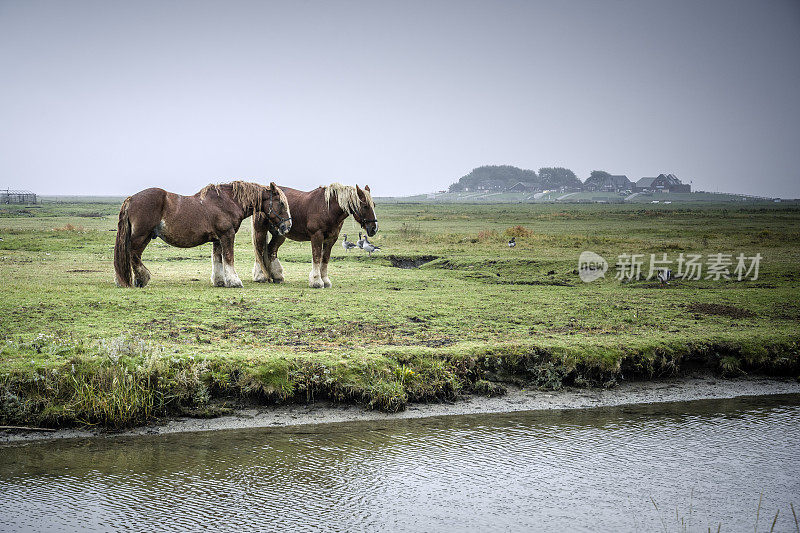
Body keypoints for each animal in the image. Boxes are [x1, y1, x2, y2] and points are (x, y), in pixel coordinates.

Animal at [117, 180, 292, 288]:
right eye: (281, 203)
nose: (287, 226)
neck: (227, 202)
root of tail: (131, 199)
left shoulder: (218, 239)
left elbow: (218, 259)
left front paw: (220, 281)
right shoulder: (227, 235)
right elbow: (228, 258)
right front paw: (234, 281)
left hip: (145, 236)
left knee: (134, 255)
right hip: (141, 236)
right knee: (132, 254)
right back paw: (142, 278)